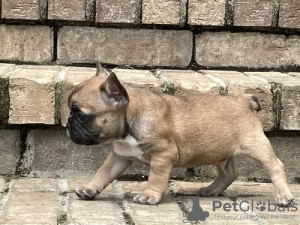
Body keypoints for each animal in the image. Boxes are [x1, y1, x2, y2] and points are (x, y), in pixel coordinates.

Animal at [66, 61, 292, 206]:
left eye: (82, 115)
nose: (68, 123)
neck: (128, 123)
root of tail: (244, 100)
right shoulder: (119, 156)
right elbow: (103, 173)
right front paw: (89, 189)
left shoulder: (163, 156)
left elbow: (155, 178)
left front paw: (149, 196)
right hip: (221, 152)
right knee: (229, 172)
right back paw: (210, 190)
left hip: (256, 144)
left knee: (275, 165)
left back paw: (284, 197)